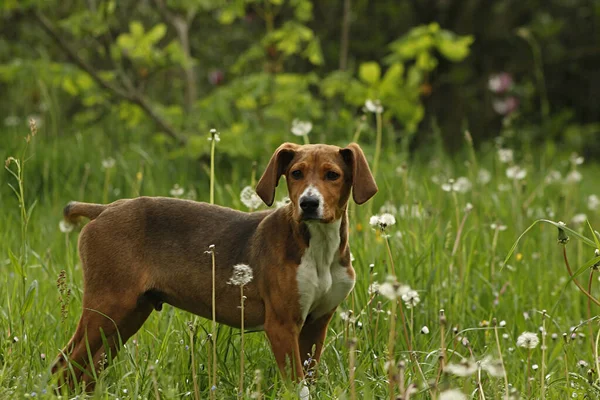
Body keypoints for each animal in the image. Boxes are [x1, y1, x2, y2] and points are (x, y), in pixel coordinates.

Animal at [52, 143, 380, 390]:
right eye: (296, 173)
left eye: (332, 175)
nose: (308, 203)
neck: (318, 246)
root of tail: (104, 209)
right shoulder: (282, 325)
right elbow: (297, 385)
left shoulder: (316, 324)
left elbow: (308, 378)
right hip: (107, 308)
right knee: (63, 366)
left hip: (127, 317)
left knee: (83, 370)